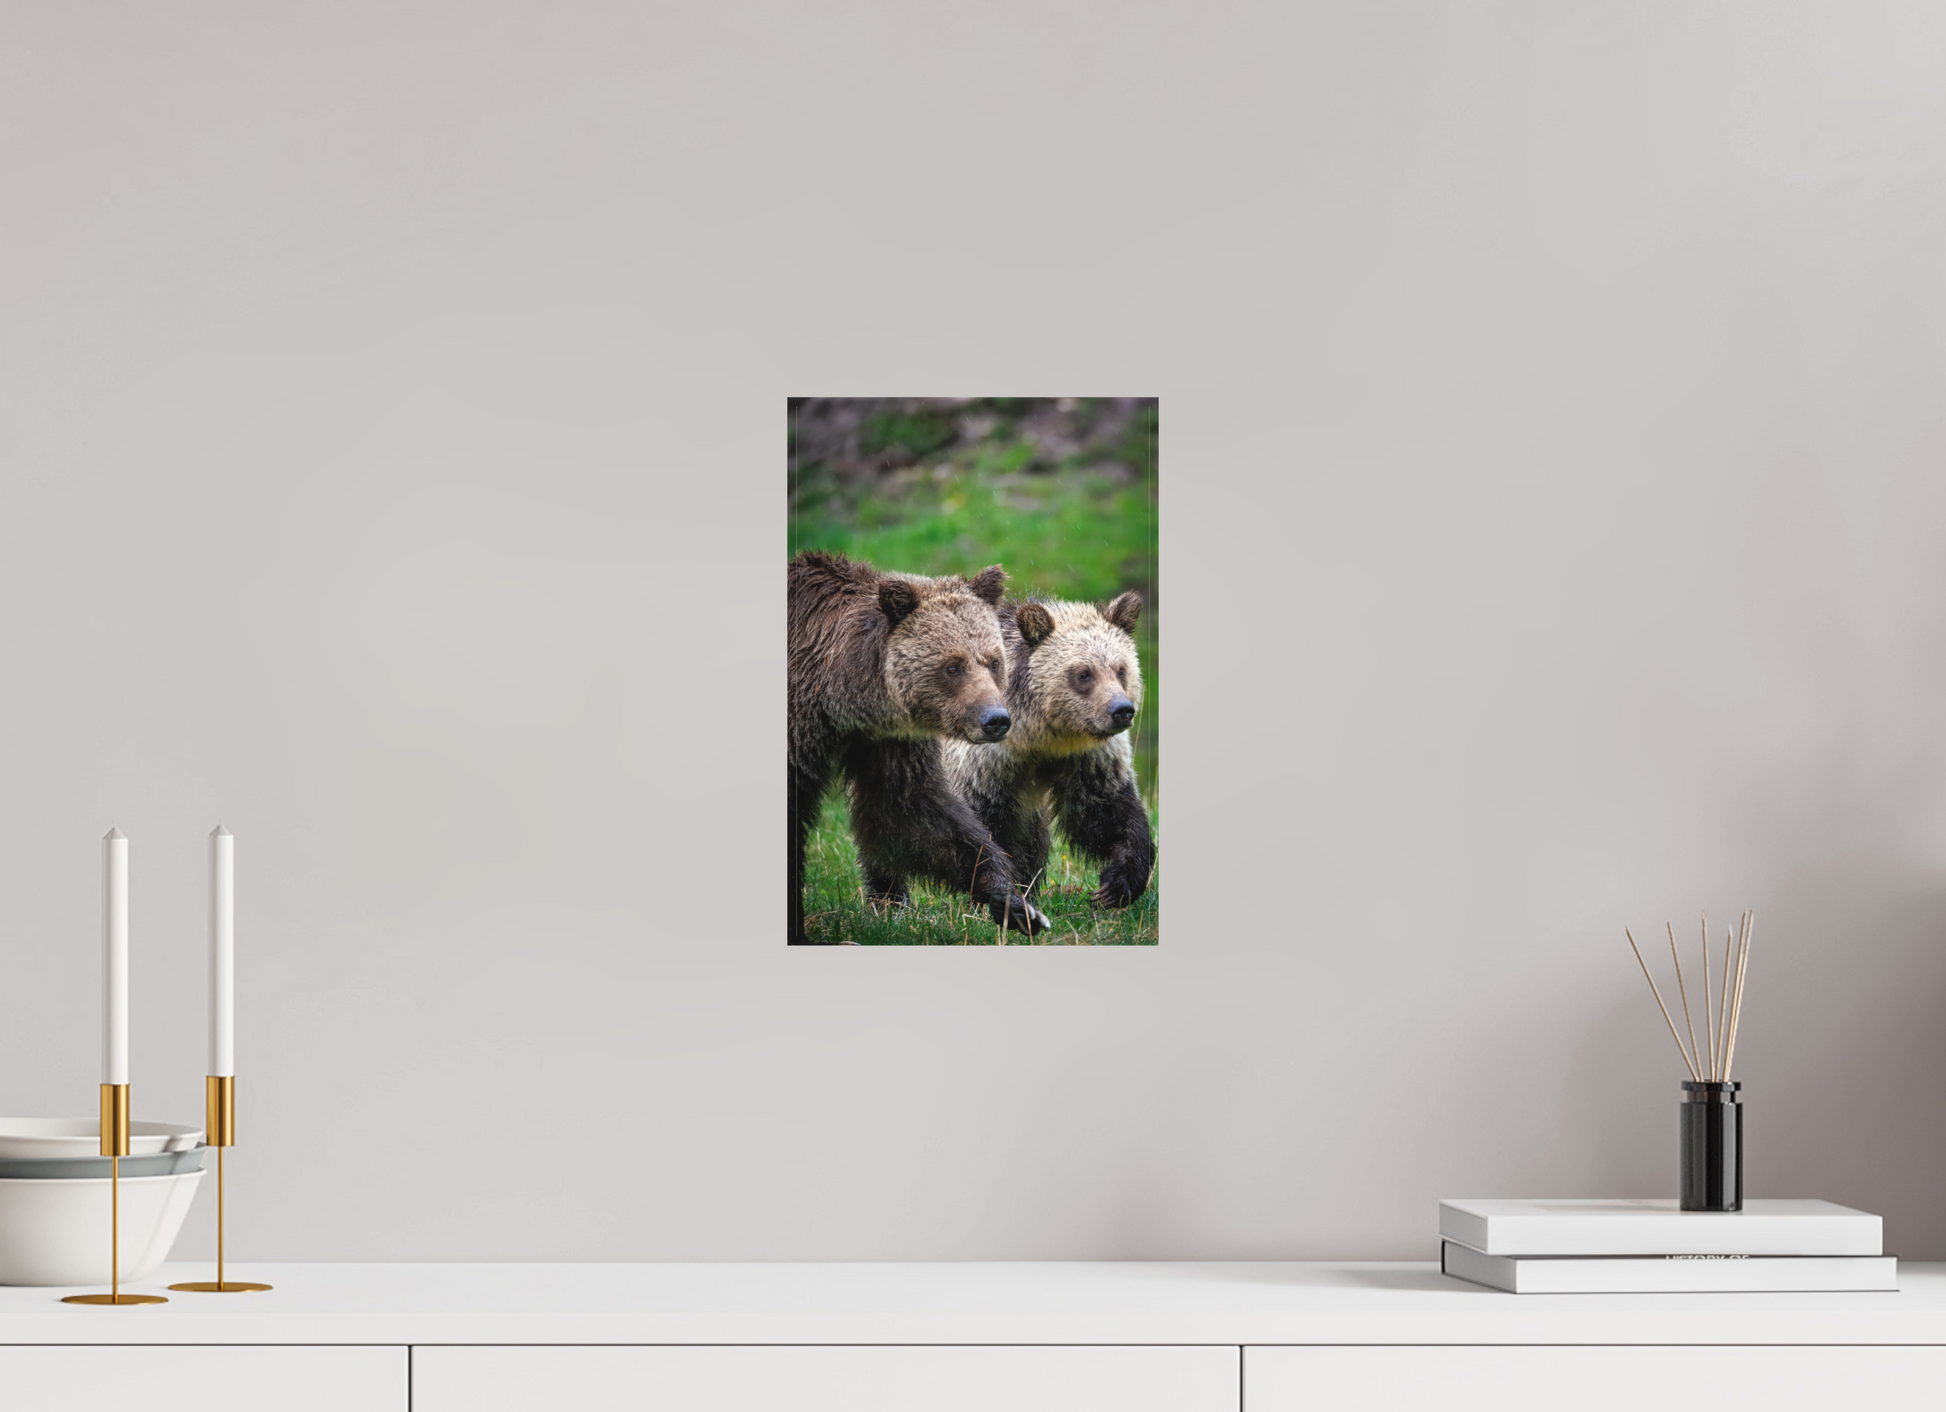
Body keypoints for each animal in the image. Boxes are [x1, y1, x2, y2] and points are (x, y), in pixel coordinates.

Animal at [788, 550, 1053, 945]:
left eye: (994, 661)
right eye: (952, 667)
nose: (996, 719)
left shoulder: (886, 740)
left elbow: (911, 811)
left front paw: (1014, 903)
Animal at [943, 591, 1154, 909]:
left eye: (1121, 670)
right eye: (1084, 673)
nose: (1121, 710)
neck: (1041, 736)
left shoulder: (1087, 759)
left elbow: (1106, 811)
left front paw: (1116, 885)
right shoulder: (984, 764)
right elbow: (986, 824)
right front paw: (998, 893)